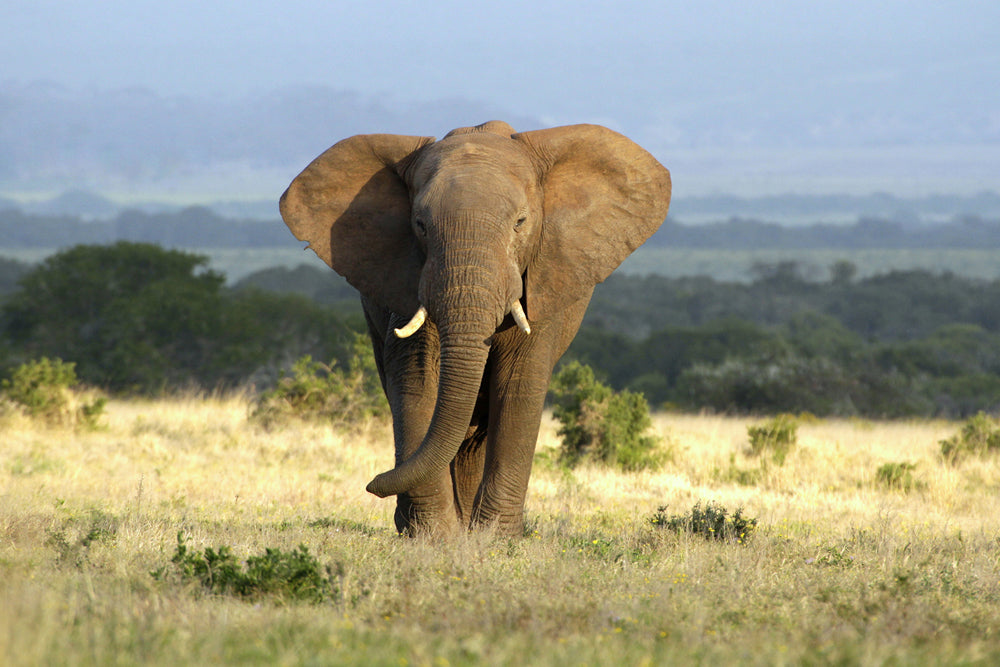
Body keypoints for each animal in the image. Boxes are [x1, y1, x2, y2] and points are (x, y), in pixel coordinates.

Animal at [279, 120, 670, 536]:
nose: (373, 483)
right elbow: (416, 379)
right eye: (419, 225)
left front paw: (494, 539)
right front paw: (434, 536)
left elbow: (519, 384)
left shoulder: (544, 277)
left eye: (520, 223)